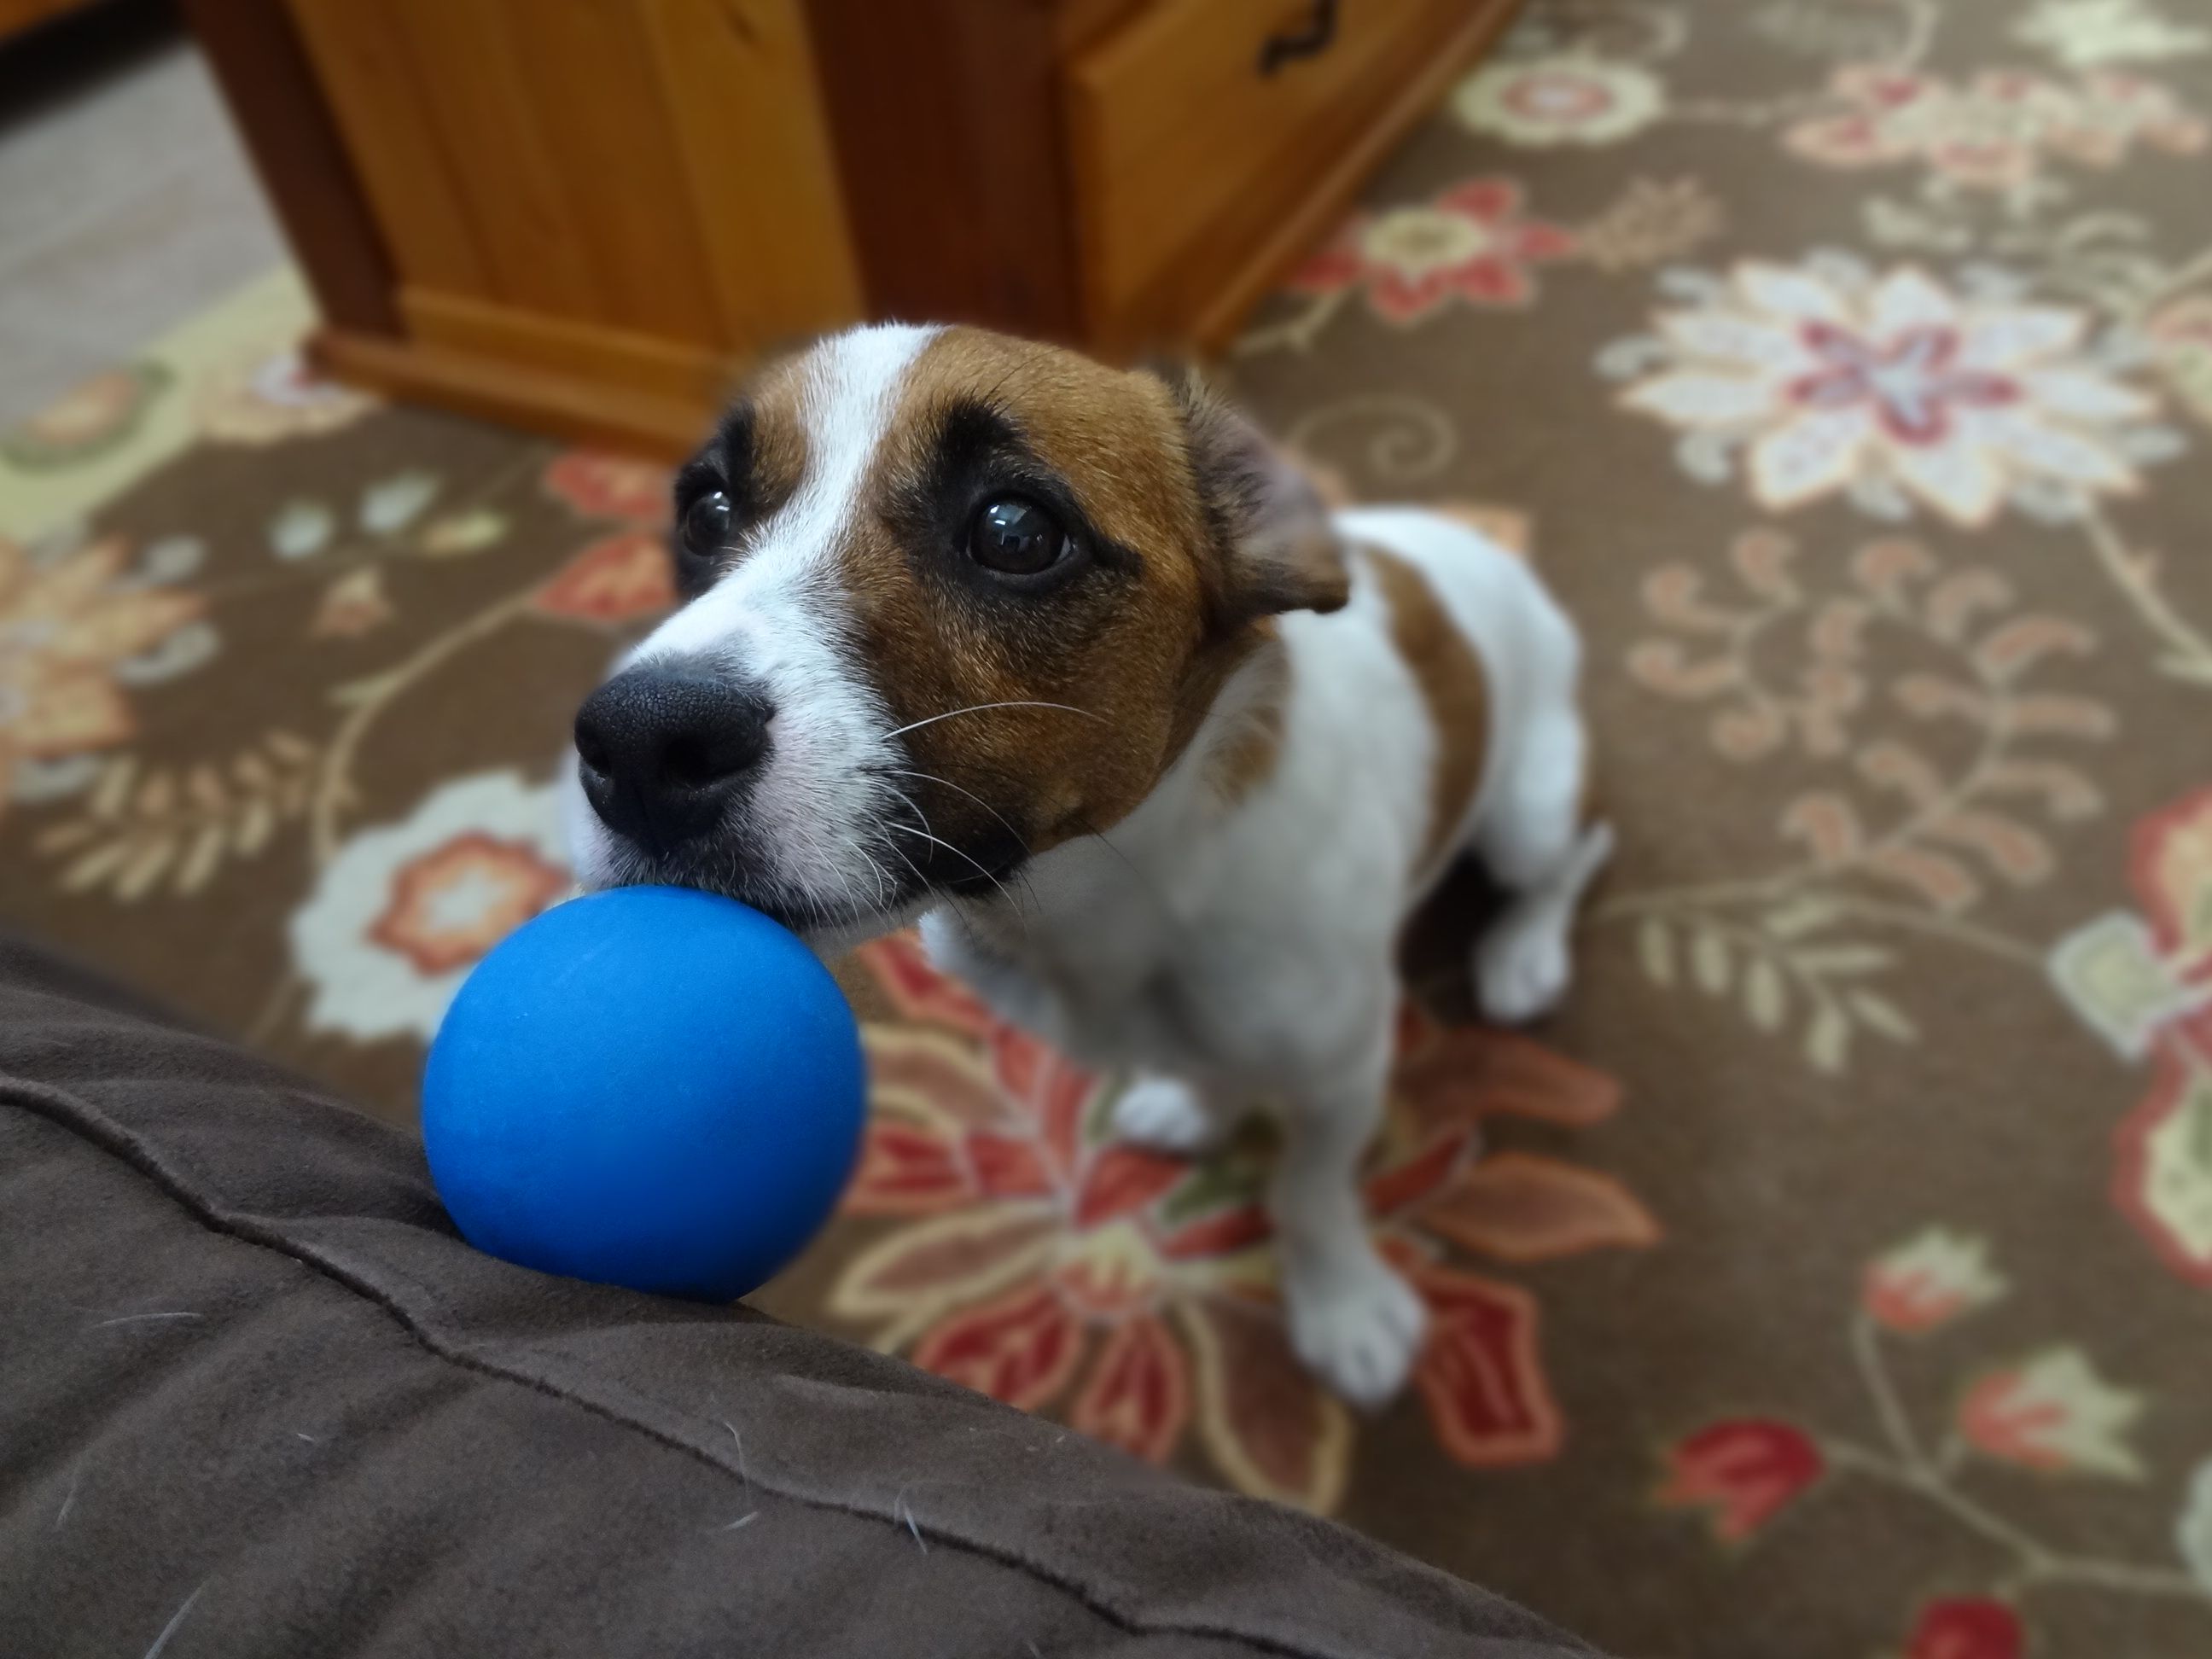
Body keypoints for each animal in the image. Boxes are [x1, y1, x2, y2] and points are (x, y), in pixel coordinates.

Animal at [566, 320, 1610, 1406]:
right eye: (707, 508)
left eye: (1016, 531)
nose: (639, 745)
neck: (1119, 897)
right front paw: (1199, 1103)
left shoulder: (1344, 1072)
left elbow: (1310, 1194)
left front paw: (1343, 1305)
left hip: (1529, 810)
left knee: (1576, 854)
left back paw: (1524, 953)